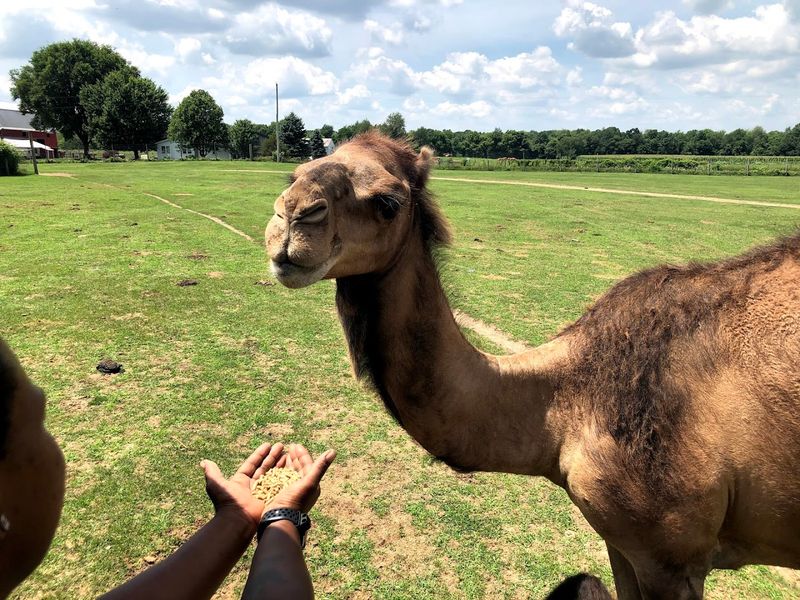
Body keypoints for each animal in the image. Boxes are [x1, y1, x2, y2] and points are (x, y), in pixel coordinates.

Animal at [265, 131, 800, 599]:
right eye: (296, 172)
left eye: (388, 201)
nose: (291, 217)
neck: (566, 405)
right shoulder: (623, 543)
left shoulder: (673, 555)